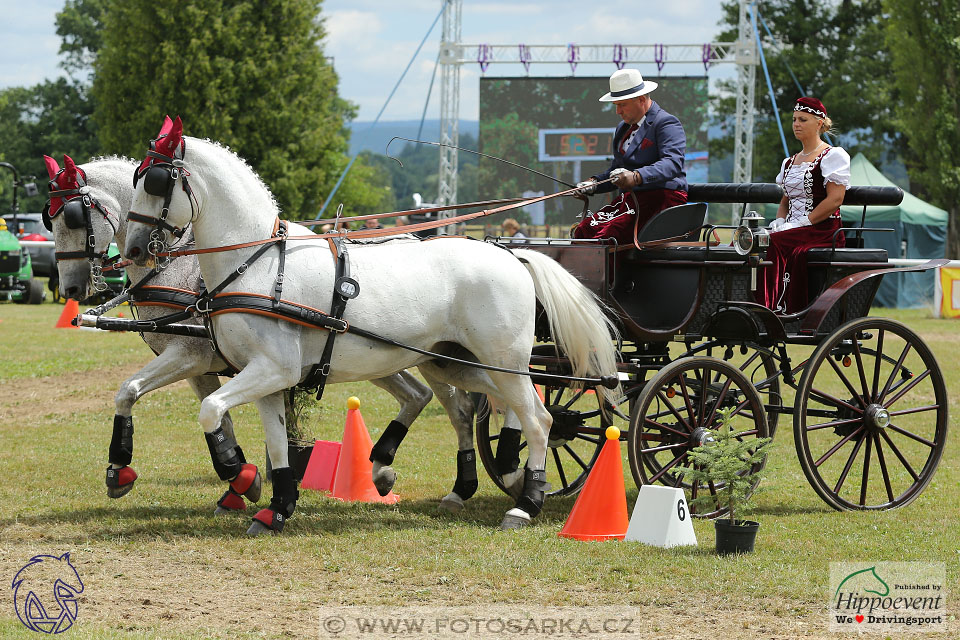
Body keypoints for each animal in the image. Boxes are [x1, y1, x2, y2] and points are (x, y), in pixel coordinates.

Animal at [47, 152, 474, 516]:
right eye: (49, 220)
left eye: (72, 217)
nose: (70, 288)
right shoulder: (201, 368)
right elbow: (195, 414)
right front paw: (237, 478)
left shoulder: (189, 356)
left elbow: (137, 391)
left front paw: (237, 477)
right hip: (377, 357)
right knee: (417, 396)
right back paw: (383, 470)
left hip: (428, 357)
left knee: (459, 410)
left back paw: (459, 487)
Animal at [124, 116, 620, 536]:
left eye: (155, 181)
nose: (132, 251)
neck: (258, 263)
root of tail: (511, 254)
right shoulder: (263, 375)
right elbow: (278, 443)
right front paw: (276, 508)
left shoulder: (275, 370)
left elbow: (210, 410)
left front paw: (240, 477)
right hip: (455, 363)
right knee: (486, 410)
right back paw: (486, 481)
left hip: (504, 360)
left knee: (539, 417)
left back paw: (527, 503)